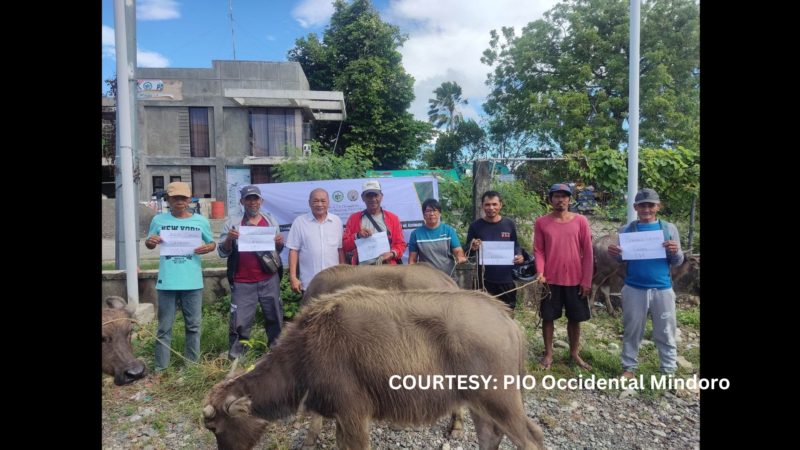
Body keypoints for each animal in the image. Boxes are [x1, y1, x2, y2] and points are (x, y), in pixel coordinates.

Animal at [203, 286, 548, 450]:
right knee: (491, 437)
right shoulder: (341, 418)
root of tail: (504, 317)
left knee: (530, 437)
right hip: (480, 405)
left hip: (500, 401)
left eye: (215, 427)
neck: (306, 348)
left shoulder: (353, 415)